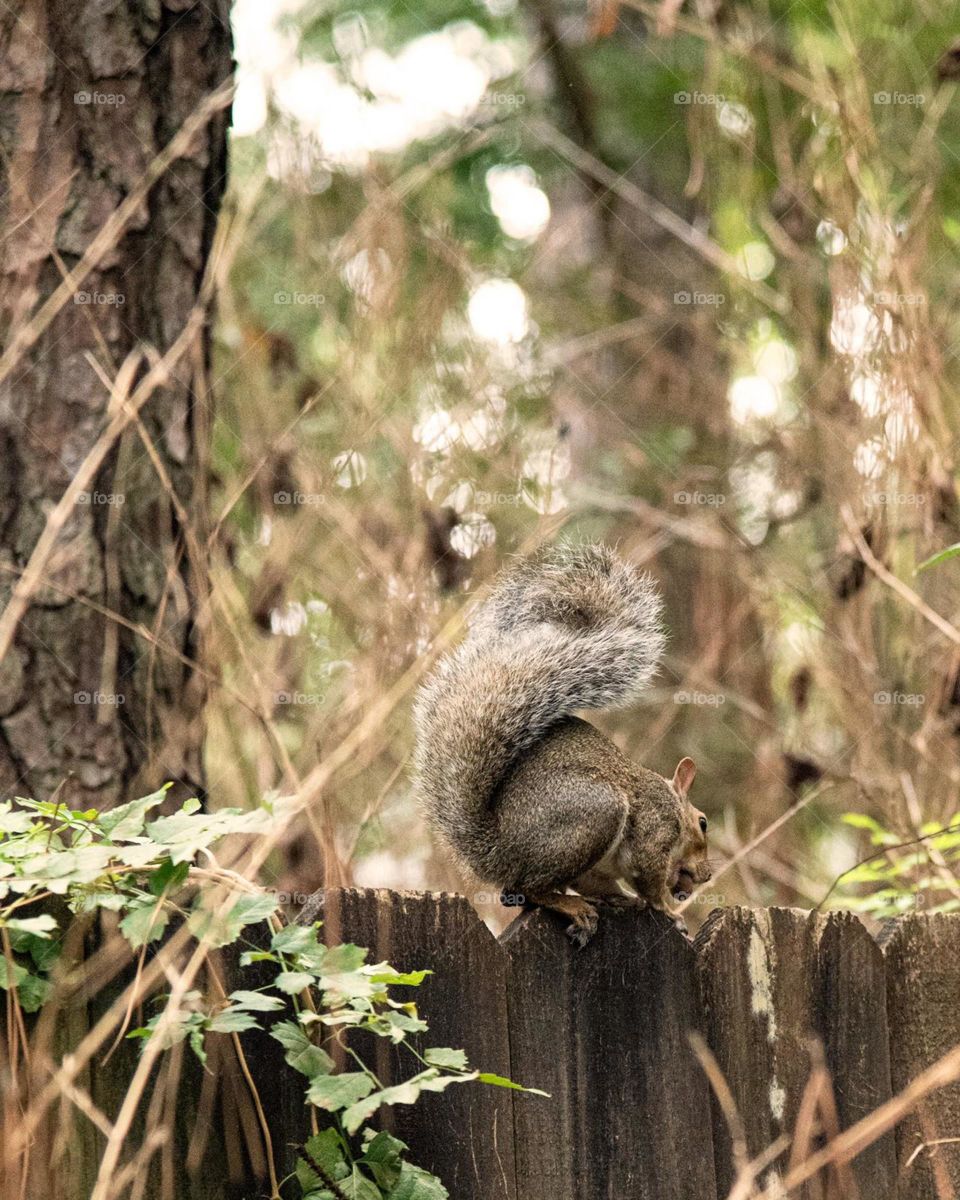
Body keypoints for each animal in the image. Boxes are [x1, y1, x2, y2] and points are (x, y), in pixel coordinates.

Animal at [413, 541, 711, 946]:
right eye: (703, 823)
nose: (708, 874)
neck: (674, 808)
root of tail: (496, 850)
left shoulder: (602, 870)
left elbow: (602, 883)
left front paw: (621, 898)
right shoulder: (654, 832)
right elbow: (650, 882)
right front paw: (670, 912)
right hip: (594, 813)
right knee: (522, 889)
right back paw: (571, 906)